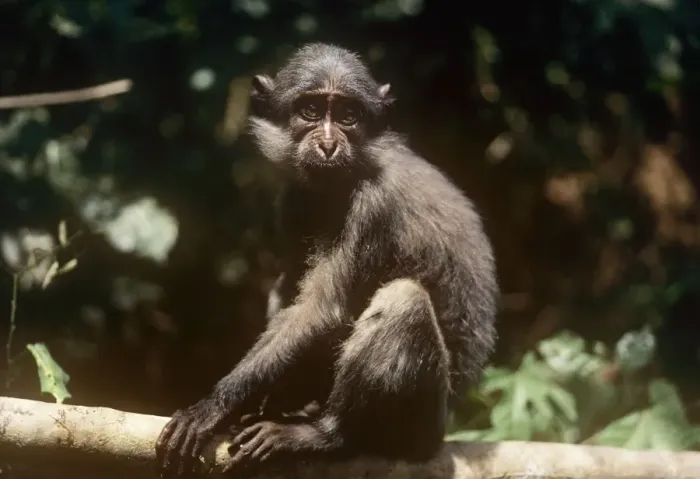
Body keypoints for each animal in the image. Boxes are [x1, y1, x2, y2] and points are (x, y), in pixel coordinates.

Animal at [155, 42, 498, 477]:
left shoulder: (375, 203)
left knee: (403, 300)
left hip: (420, 430)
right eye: (311, 111)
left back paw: (328, 434)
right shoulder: (292, 196)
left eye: (349, 116)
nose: (329, 144)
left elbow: (320, 310)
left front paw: (212, 408)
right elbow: (290, 295)